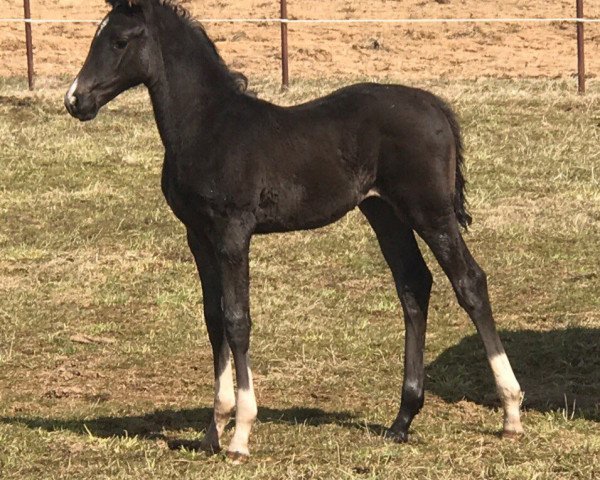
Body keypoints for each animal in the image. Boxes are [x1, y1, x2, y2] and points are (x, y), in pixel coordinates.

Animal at [65, 0, 524, 462]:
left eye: (120, 41)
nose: (75, 100)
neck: (209, 126)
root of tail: (435, 105)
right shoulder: (198, 237)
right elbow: (213, 318)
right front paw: (212, 430)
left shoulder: (233, 233)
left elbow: (237, 319)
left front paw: (240, 435)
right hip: (384, 212)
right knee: (413, 284)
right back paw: (402, 420)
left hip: (430, 212)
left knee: (469, 282)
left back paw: (510, 412)